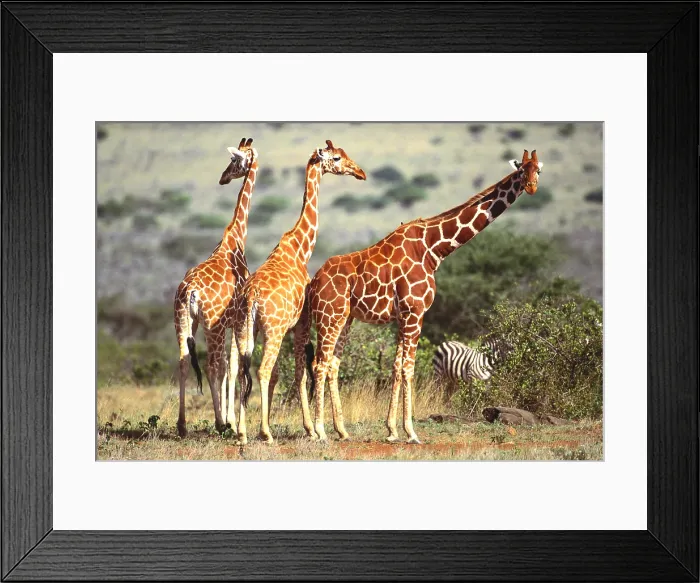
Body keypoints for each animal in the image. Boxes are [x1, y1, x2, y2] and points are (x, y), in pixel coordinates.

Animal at [173, 137, 258, 438]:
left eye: (233, 162)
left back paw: (182, 425)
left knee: (184, 361)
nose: (223, 178)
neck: (236, 238)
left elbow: (226, 366)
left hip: (184, 320)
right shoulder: (234, 321)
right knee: (211, 366)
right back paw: (220, 424)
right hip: (213, 326)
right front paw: (230, 420)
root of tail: (190, 292)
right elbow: (230, 367)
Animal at [232, 140, 366, 445]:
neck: (300, 248)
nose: (360, 172)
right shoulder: (301, 322)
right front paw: (311, 429)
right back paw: (266, 433)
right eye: (337, 158)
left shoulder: (287, 327)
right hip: (273, 330)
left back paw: (242, 433)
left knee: (244, 371)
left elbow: (285, 374)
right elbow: (299, 373)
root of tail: (251, 297)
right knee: (263, 370)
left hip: (245, 328)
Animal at [297, 149, 543, 444]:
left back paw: (342, 431)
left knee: (332, 364)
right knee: (319, 364)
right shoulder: (416, 311)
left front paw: (391, 430)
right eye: (522, 170)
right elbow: (408, 367)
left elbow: (396, 366)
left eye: (538, 169)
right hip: (328, 316)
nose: (532, 187)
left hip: (345, 319)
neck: (433, 250)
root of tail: (313, 282)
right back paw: (319, 432)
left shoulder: (403, 315)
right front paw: (411, 432)